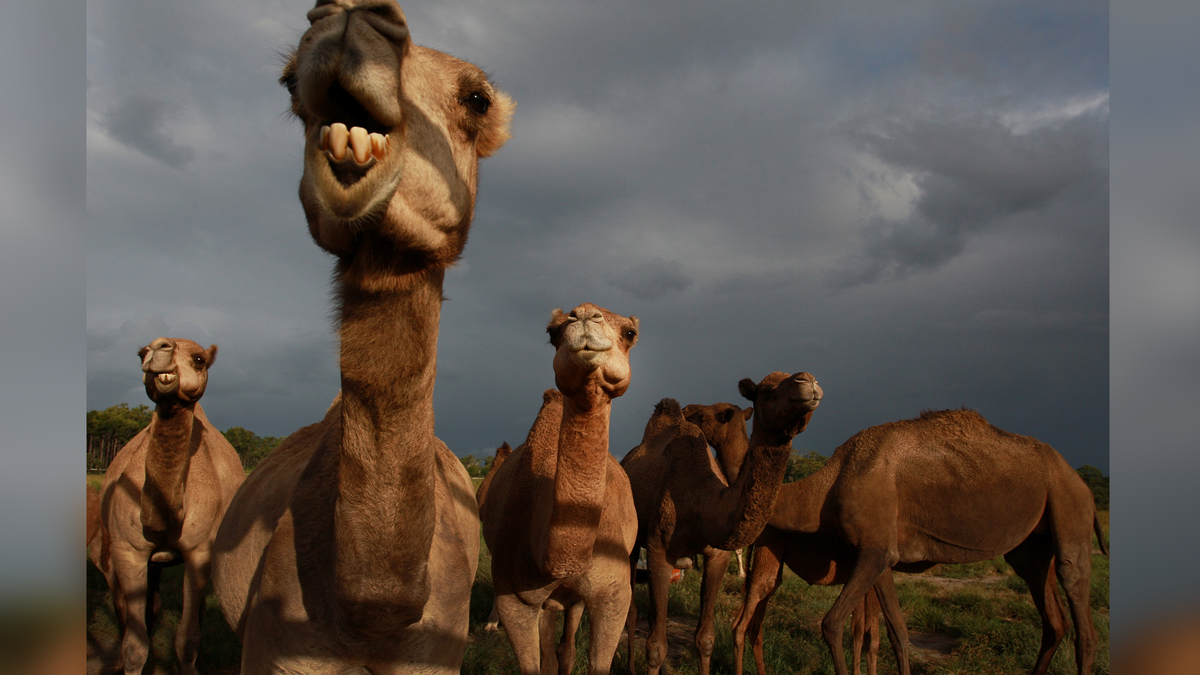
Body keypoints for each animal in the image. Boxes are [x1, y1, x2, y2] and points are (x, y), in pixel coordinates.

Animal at [91, 336, 248, 672]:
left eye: (199, 359)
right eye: (140, 353)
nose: (158, 348)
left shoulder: (199, 552)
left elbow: (187, 641)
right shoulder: (129, 551)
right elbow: (134, 645)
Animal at [477, 303, 643, 672]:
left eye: (630, 333)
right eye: (553, 332)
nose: (585, 315)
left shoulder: (614, 594)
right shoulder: (517, 599)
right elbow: (534, 663)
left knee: (565, 644)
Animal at [619, 369, 825, 672]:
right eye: (766, 391)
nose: (808, 381)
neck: (700, 501)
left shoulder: (717, 555)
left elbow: (705, 638)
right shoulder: (658, 550)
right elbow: (656, 646)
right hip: (632, 539)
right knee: (631, 608)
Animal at [763, 403, 1108, 672]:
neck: (829, 483)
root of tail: (1079, 481)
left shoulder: (874, 546)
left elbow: (831, 623)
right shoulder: (878, 550)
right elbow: (898, 631)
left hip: (1069, 502)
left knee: (1075, 590)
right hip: (1033, 542)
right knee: (1051, 614)